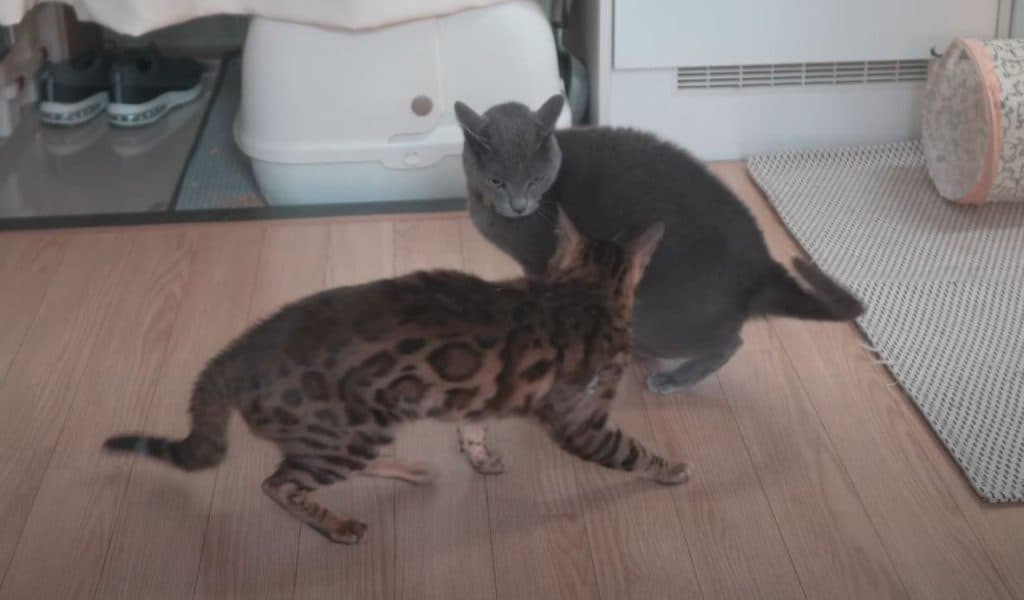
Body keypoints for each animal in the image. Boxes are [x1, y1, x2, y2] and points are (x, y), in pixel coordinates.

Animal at [103, 209, 684, 540]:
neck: (583, 289)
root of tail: (235, 353)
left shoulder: (481, 397)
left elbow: (473, 425)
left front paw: (478, 456)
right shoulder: (582, 419)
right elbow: (631, 451)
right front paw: (671, 469)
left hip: (363, 428)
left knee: (326, 468)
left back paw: (413, 470)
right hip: (346, 433)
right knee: (278, 483)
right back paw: (337, 527)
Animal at [456, 92, 864, 393]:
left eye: (536, 180)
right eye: (497, 181)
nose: (519, 205)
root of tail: (762, 267)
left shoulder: (541, 261)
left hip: (658, 317)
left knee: (731, 342)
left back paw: (671, 378)